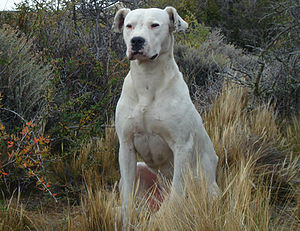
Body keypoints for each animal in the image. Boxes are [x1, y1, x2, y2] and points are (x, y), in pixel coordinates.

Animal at [113, 5, 219, 227]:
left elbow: (177, 192)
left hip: (209, 190)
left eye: (155, 25)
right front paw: (126, 221)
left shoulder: (182, 145)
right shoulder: (126, 145)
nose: (137, 41)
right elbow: (127, 198)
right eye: (129, 25)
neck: (147, 81)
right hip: (140, 170)